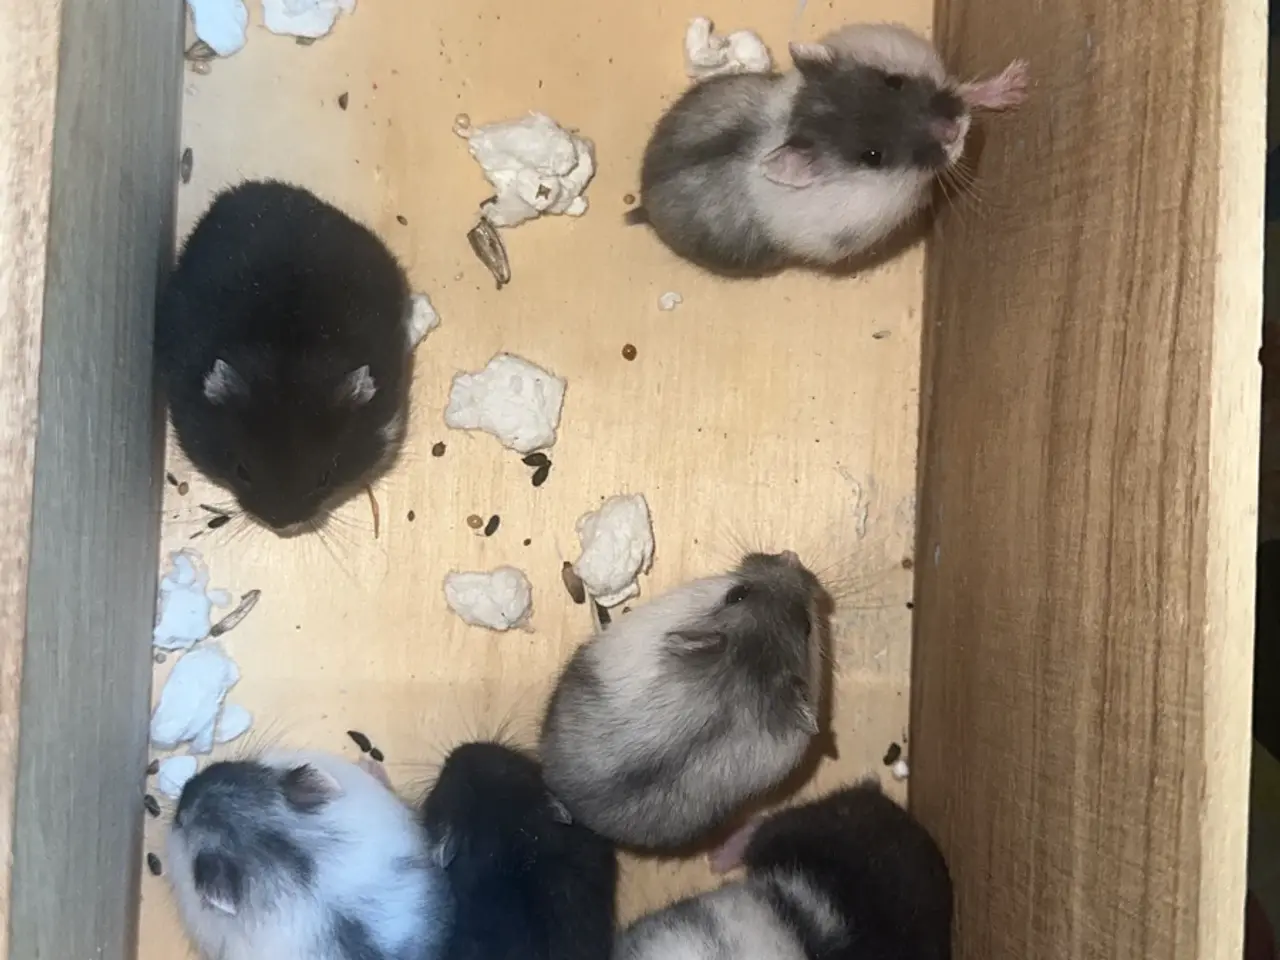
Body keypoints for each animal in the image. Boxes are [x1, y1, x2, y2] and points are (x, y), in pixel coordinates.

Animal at [629, 22, 1029, 275]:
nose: (955, 130)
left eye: (894, 81)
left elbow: (964, 89)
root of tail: (643, 202)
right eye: (872, 157)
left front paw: (1017, 81)